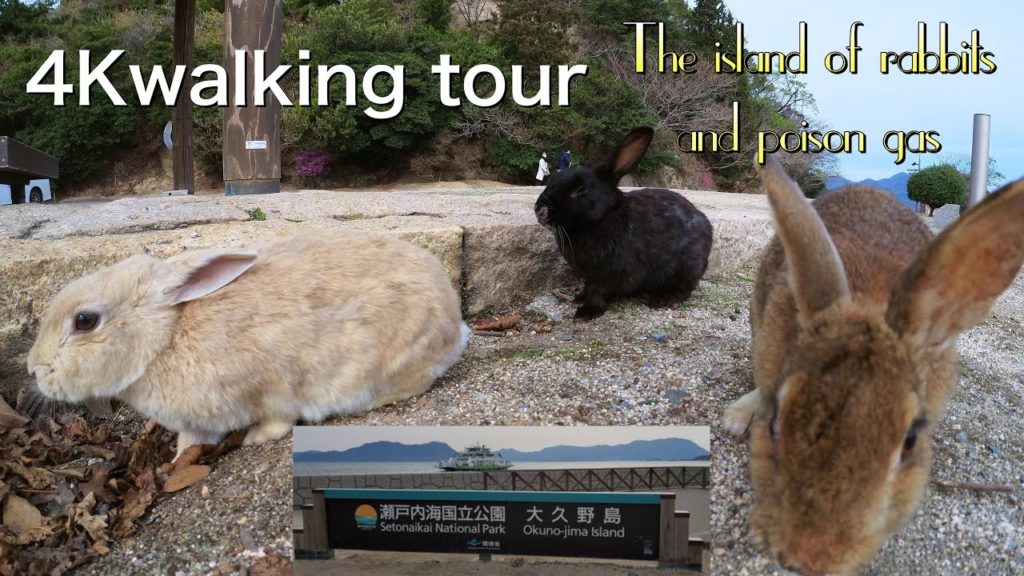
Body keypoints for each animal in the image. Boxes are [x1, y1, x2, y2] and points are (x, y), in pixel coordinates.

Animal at [26, 232, 470, 458]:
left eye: (85, 321)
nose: (34, 368)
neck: (164, 338)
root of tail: (455, 320)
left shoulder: (271, 386)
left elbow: (279, 417)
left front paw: (256, 439)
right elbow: (191, 441)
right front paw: (176, 461)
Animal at [534, 127, 713, 320]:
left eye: (580, 190)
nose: (539, 209)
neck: (602, 218)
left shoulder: (610, 274)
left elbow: (598, 292)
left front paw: (587, 311)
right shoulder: (590, 276)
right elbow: (588, 287)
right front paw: (579, 297)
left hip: (687, 268)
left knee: (685, 289)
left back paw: (663, 299)